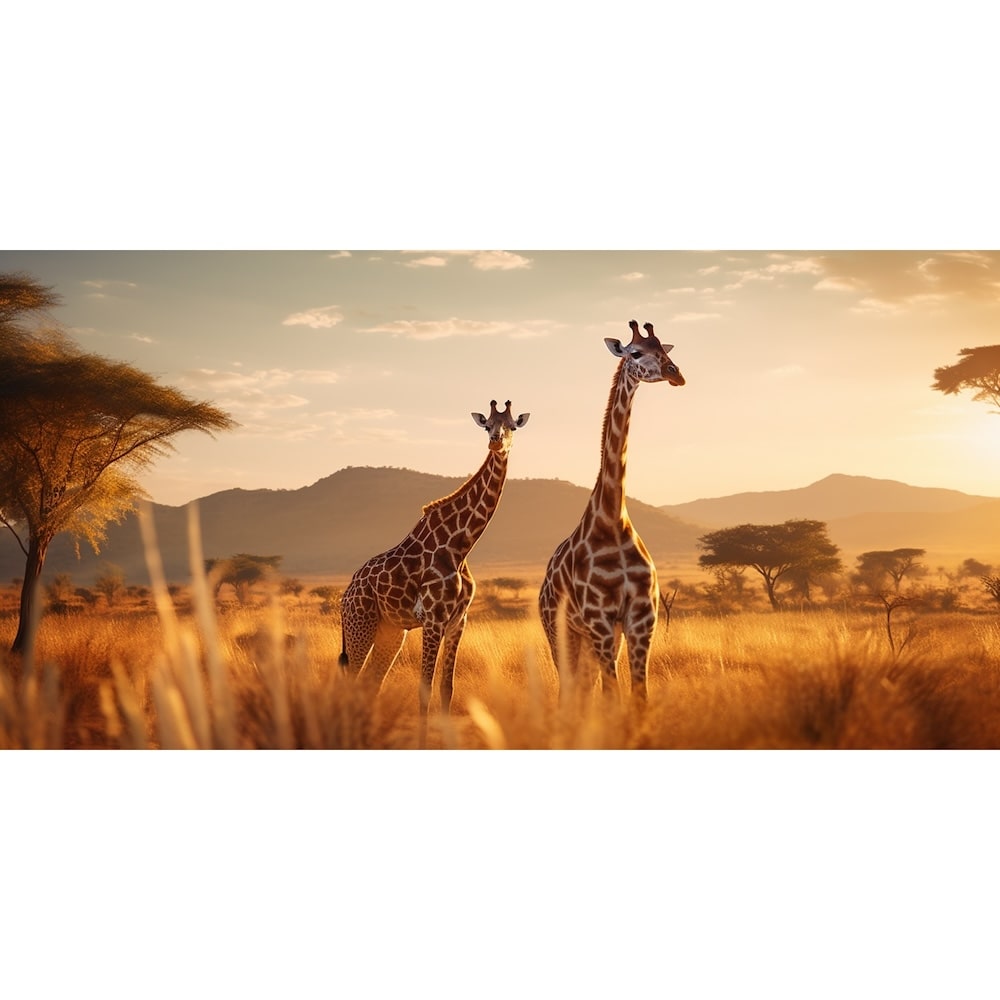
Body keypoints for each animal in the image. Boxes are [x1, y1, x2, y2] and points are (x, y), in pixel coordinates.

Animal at [338, 399, 529, 745]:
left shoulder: (458, 621)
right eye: (487, 425)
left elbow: (446, 688)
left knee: (372, 682)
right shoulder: (432, 618)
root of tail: (345, 595)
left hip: (390, 631)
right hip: (360, 623)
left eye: (512, 426)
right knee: (353, 680)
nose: (496, 442)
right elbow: (424, 688)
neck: (460, 545)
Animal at [538, 321, 684, 703]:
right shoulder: (600, 619)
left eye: (664, 349)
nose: (675, 373)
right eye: (635, 352)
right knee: (569, 690)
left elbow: (638, 695)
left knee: (583, 688)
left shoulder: (640, 619)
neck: (613, 518)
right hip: (560, 629)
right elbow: (612, 695)